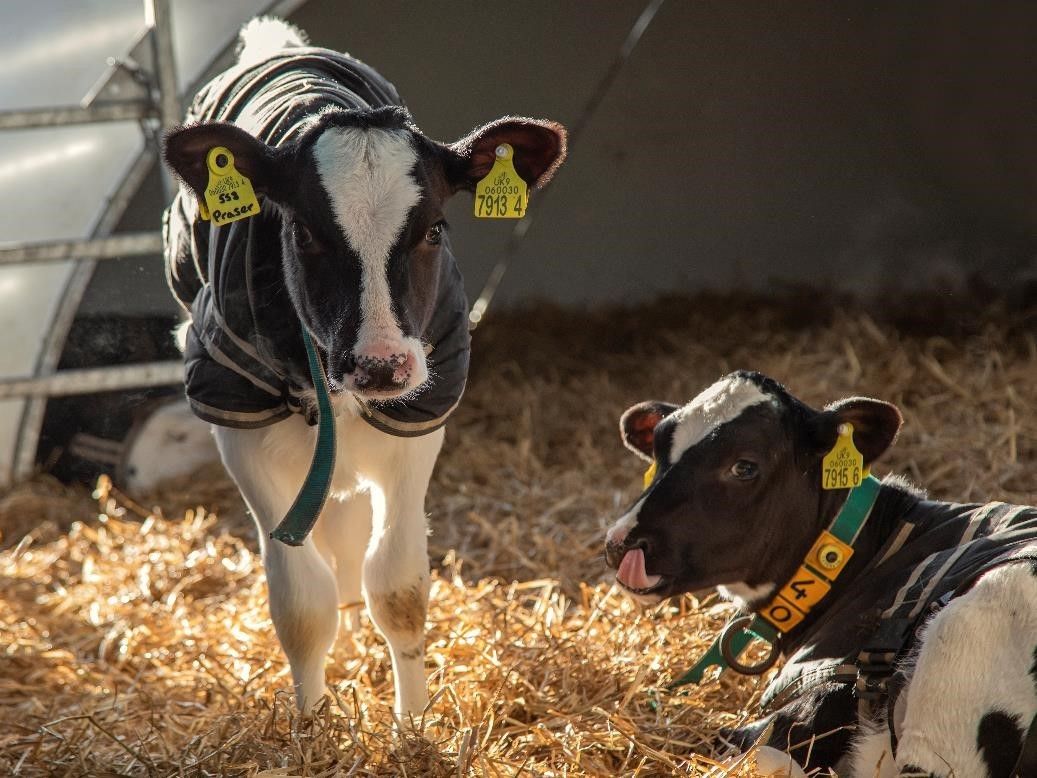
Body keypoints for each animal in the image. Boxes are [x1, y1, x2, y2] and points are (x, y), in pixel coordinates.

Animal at [160, 17, 566, 723]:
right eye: (305, 232)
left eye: (434, 229)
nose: (380, 366)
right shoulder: (235, 423)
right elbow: (300, 601)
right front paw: (311, 724)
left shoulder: (420, 419)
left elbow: (398, 587)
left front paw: (414, 724)